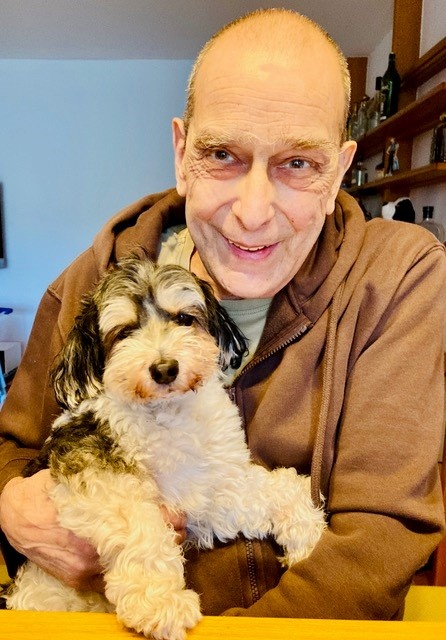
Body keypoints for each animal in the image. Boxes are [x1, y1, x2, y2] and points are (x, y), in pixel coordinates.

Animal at [6, 256, 326, 640]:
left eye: (184, 318)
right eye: (124, 331)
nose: (164, 368)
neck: (165, 415)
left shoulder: (204, 494)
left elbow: (271, 488)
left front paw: (306, 526)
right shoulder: (94, 468)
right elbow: (140, 525)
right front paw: (159, 602)